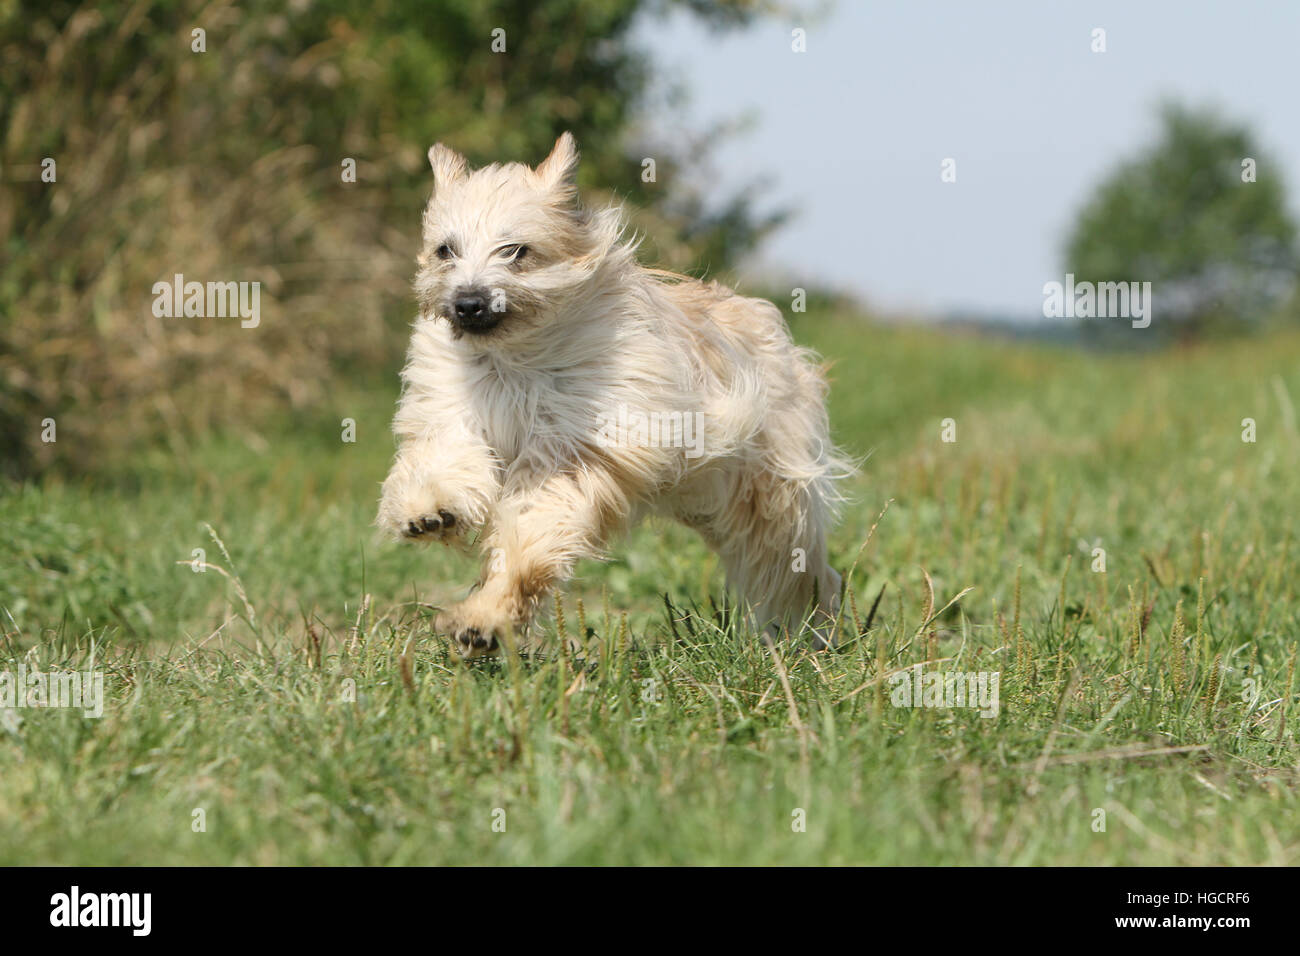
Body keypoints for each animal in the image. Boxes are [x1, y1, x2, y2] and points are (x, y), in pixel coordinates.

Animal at [377, 134, 847, 658]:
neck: (516, 358)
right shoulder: (455, 410)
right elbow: (447, 456)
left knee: (794, 569)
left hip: (771, 497)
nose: (468, 303)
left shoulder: (577, 450)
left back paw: (807, 634)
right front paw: (430, 510)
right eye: (446, 250)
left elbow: (531, 533)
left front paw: (486, 617)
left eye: (516, 250)